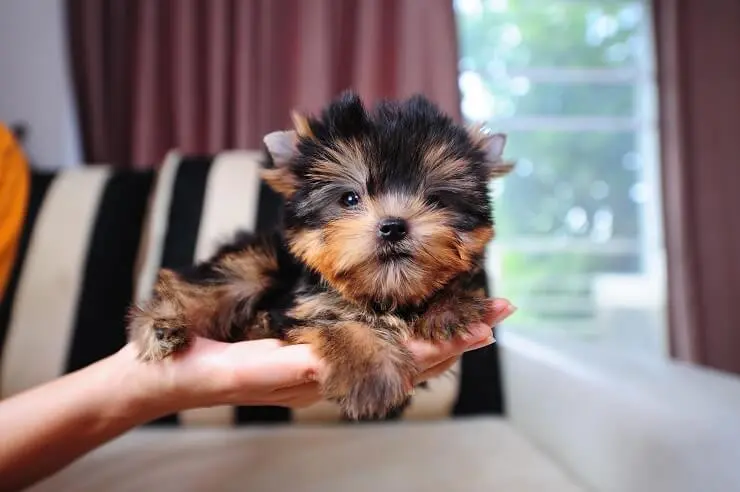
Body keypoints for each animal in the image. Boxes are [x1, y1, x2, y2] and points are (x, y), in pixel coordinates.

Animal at [127, 91, 512, 418]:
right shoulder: (306, 305)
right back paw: (161, 325)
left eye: (436, 200)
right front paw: (372, 372)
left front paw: (450, 307)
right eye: (350, 198)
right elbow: (339, 324)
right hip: (254, 264)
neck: (385, 293)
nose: (393, 226)